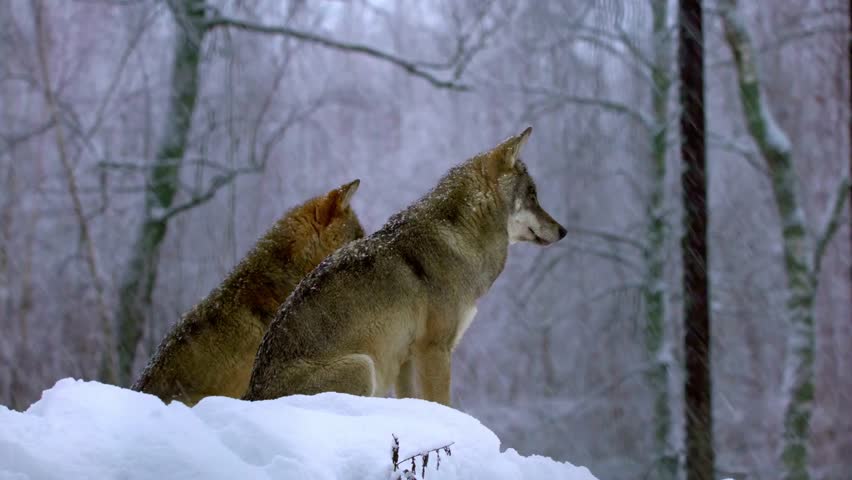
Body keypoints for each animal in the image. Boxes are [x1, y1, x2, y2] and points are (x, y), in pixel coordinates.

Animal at [243, 127, 565, 405]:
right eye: (533, 195)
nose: (563, 230)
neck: (459, 239)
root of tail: (251, 394)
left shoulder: (407, 359)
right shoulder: (434, 349)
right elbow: (442, 404)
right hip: (363, 366)